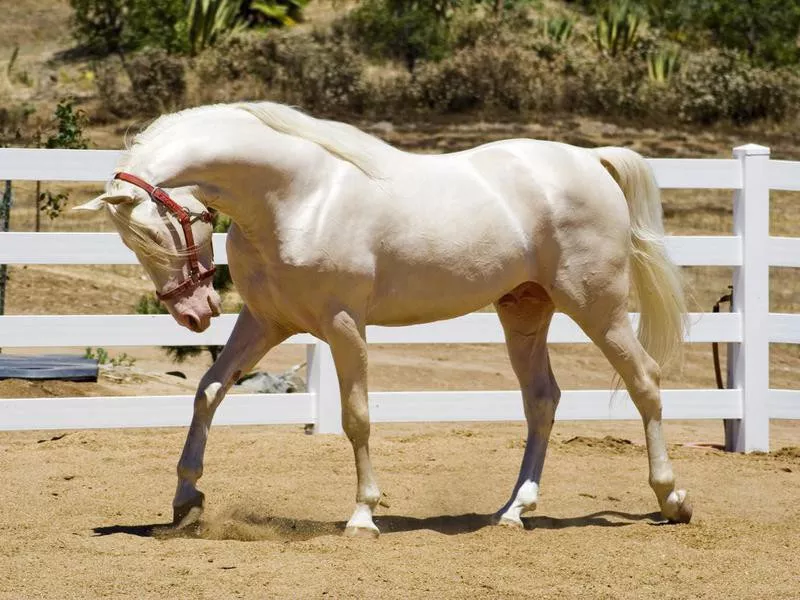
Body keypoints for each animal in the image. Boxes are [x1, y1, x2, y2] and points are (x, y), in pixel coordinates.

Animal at [76, 101, 692, 536]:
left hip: (597, 306)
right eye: (134, 243)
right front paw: (186, 501)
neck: (296, 197)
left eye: (166, 230)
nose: (194, 313)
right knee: (542, 399)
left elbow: (357, 417)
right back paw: (514, 511)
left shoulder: (344, 324)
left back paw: (671, 499)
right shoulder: (266, 322)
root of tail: (590, 160)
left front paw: (362, 516)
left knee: (644, 382)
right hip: (524, 310)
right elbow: (208, 391)